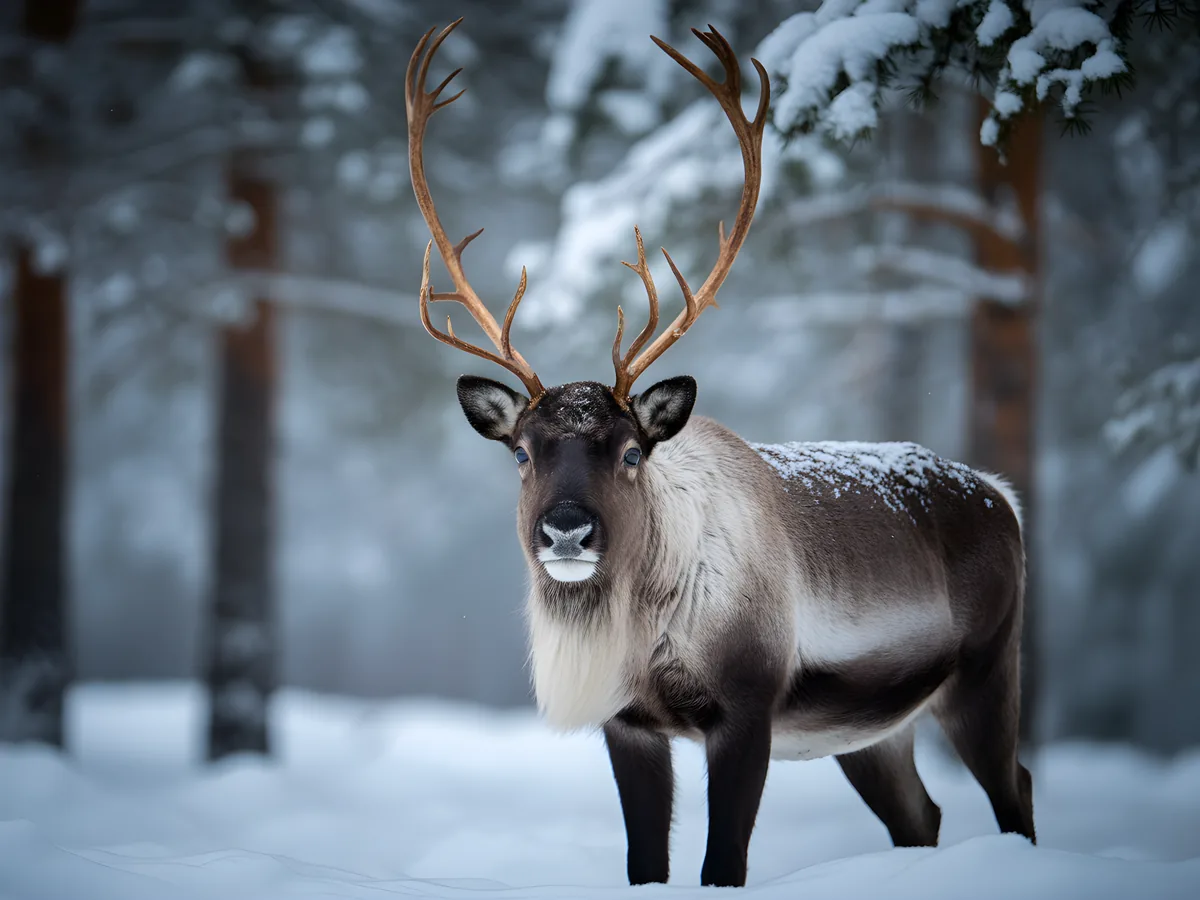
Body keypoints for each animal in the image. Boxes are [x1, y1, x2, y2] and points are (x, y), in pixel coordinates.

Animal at [405, 19, 1036, 889]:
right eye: (522, 453)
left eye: (631, 452)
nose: (566, 531)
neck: (647, 638)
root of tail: (1003, 496)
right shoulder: (630, 725)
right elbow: (645, 862)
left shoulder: (748, 706)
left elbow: (723, 863)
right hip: (875, 729)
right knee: (924, 816)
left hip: (986, 666)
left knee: (1017, 789)